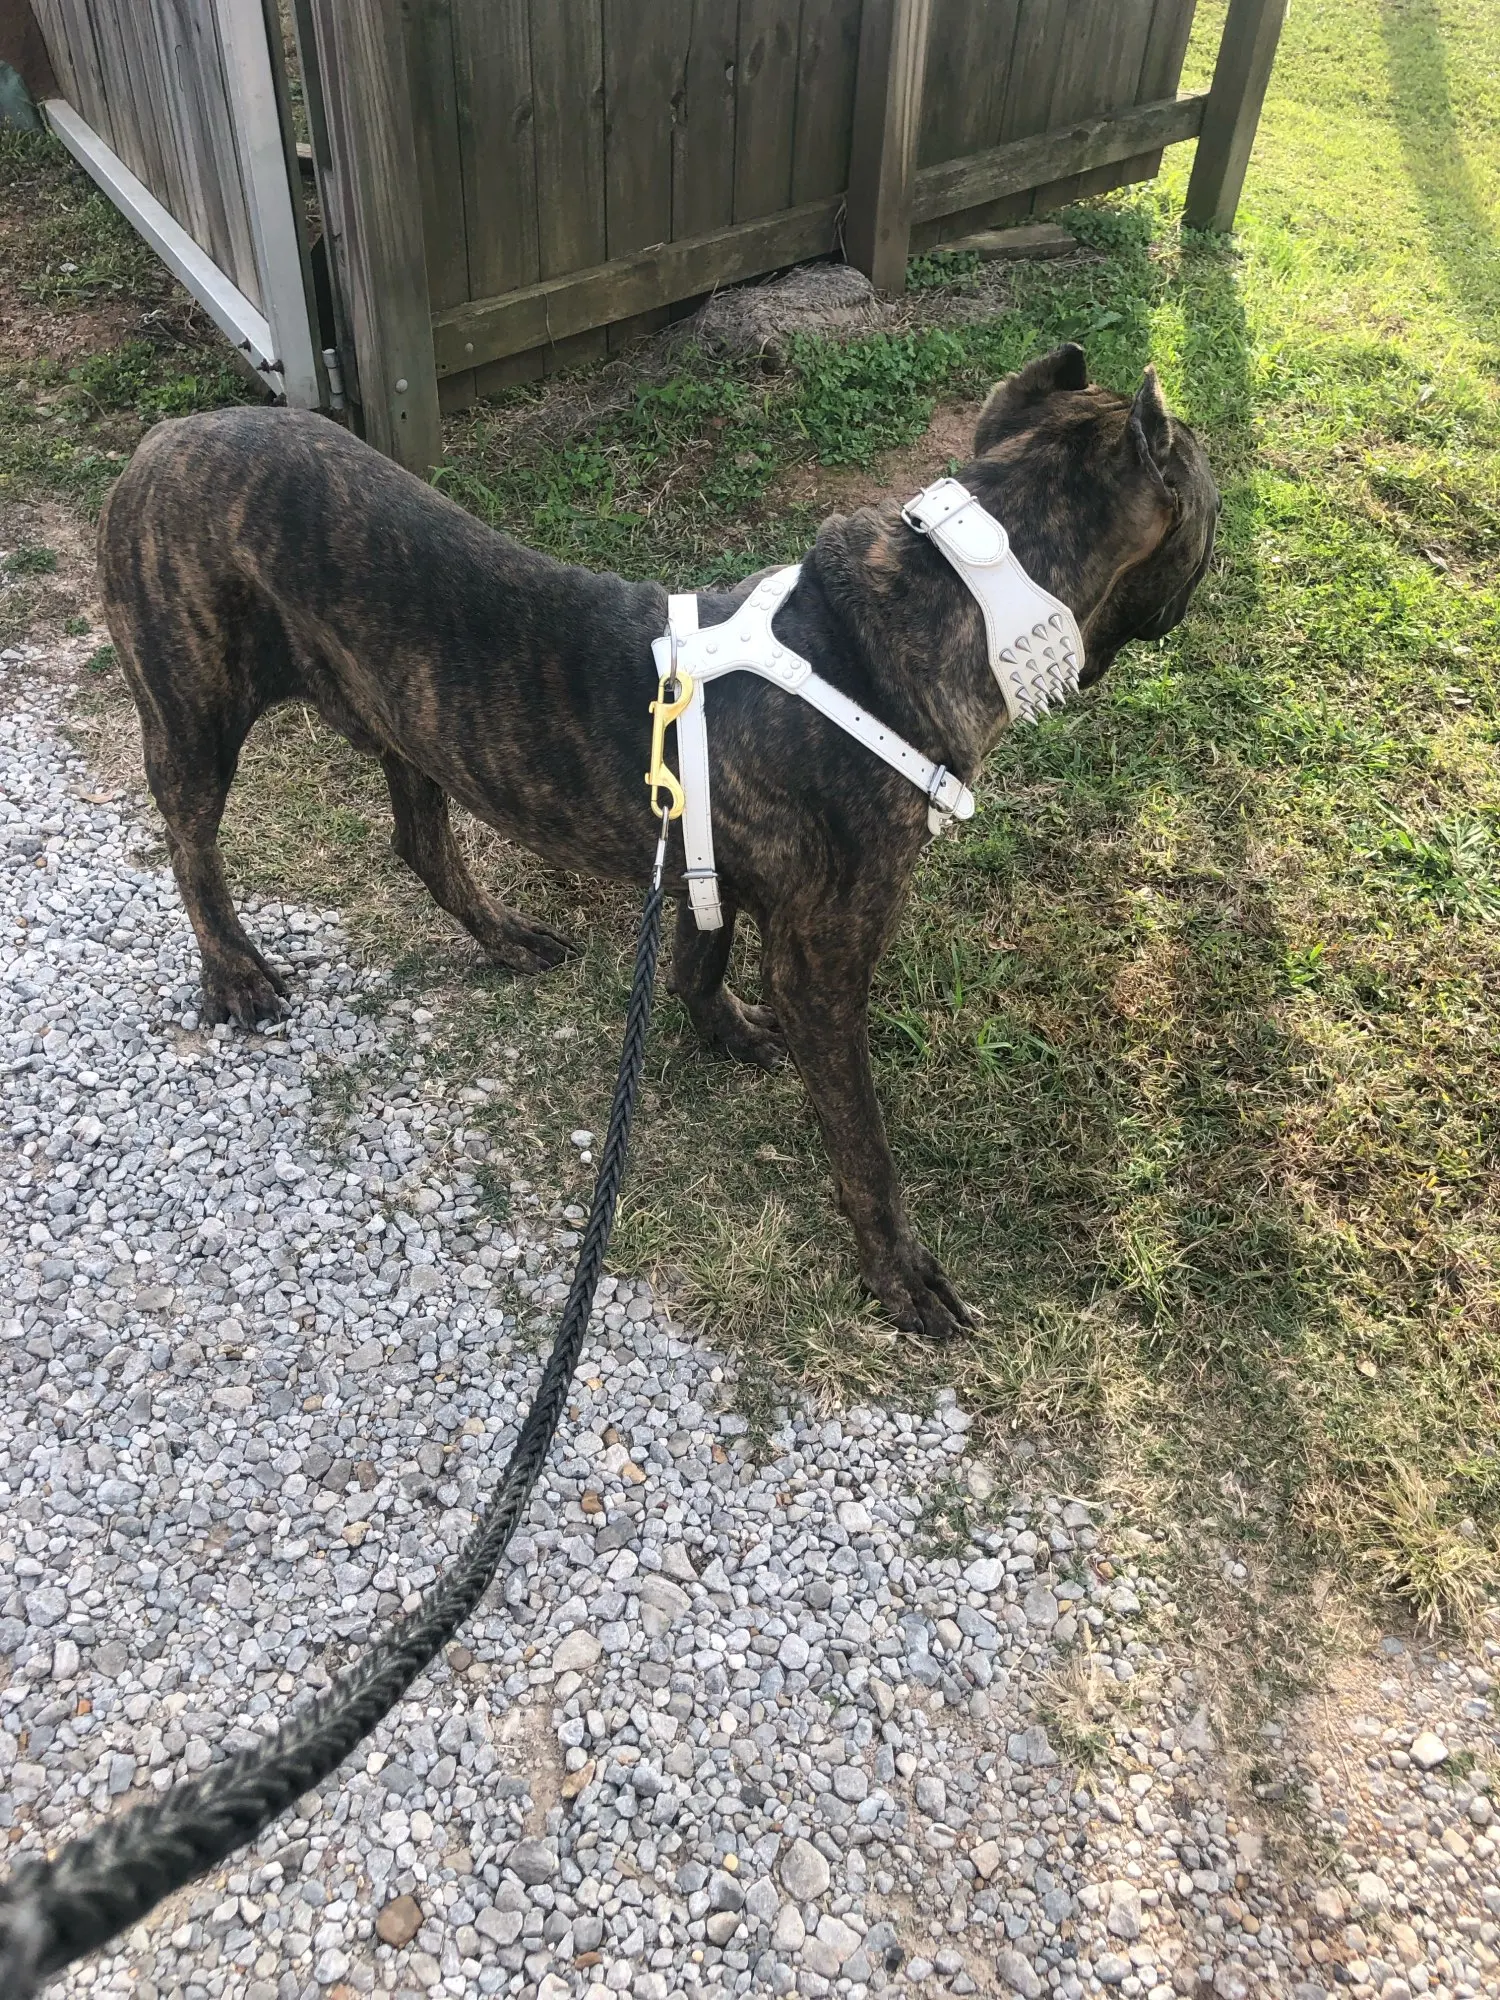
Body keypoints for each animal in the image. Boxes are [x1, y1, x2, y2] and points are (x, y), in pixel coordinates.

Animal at [98, 342, 1218, 1343]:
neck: (947, 606)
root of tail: (164, 438)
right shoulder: (827, 962)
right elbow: (864, 1143)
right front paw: (898, 1273)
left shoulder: (704, 849)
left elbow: (698, 953)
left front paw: (719, 1025)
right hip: (193, 710)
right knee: (190, 844)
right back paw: (235, 969)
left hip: (401, 714)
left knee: (419, 841)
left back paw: (504, 937)